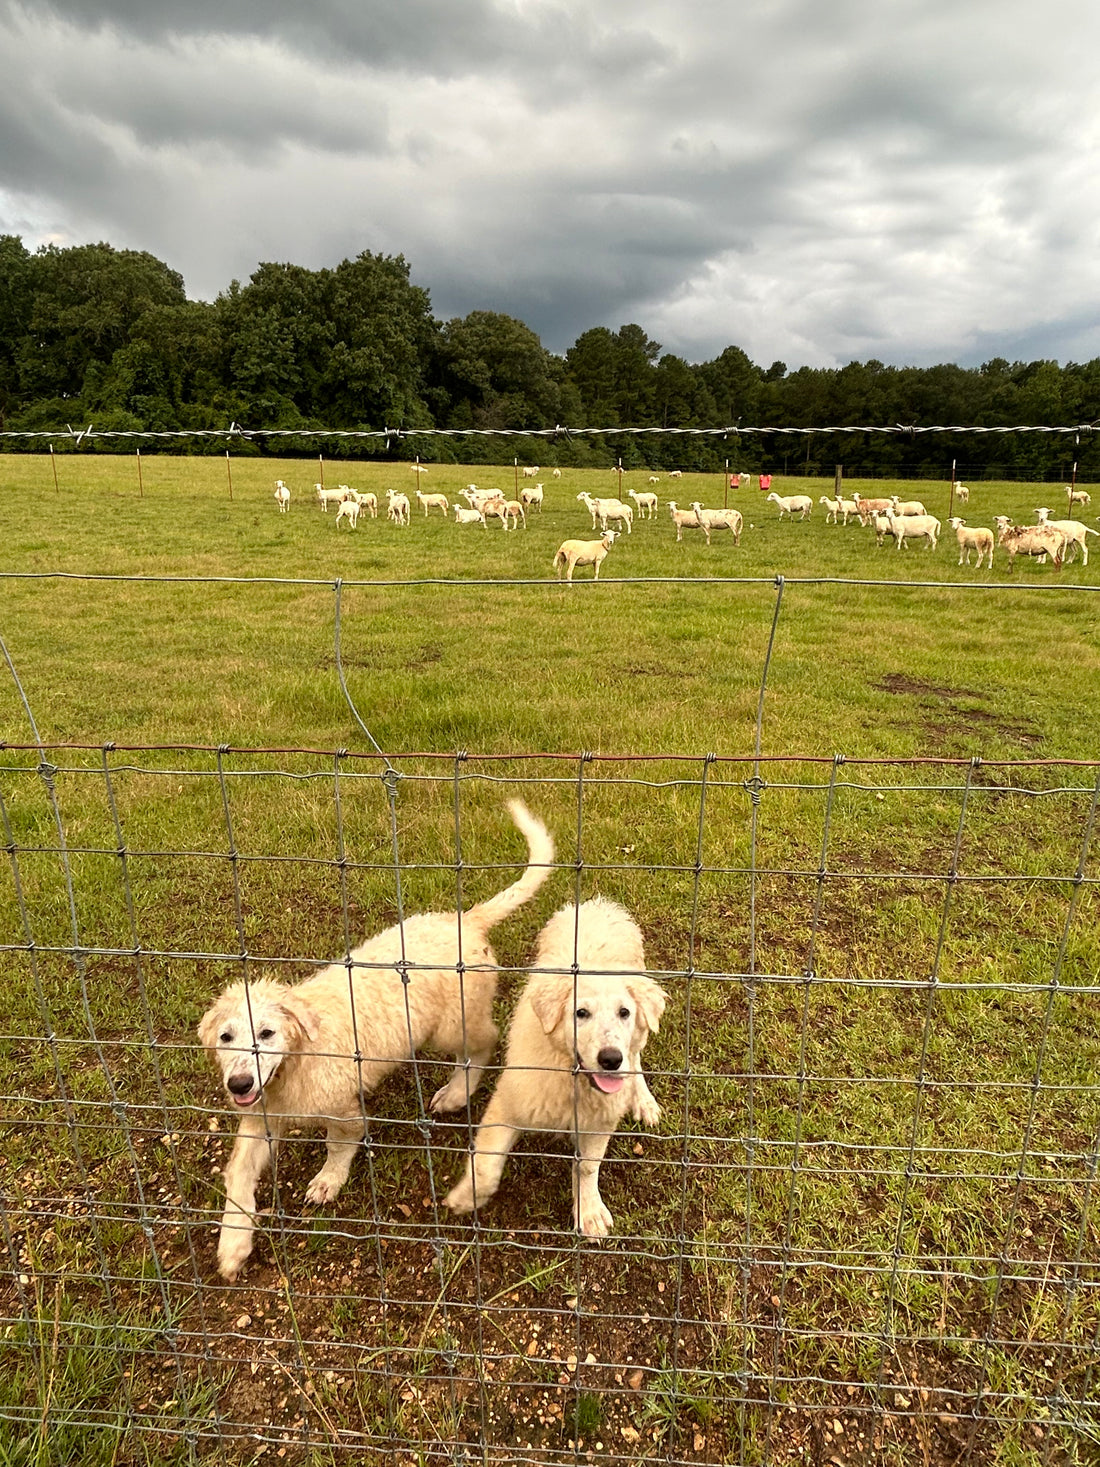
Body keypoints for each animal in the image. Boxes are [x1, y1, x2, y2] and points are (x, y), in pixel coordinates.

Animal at [198, 798, 554, 1279]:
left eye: (267, 1033)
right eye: (225, 1036)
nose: (238, 1084)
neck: (296, 1061)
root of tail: (465, 919)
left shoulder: (343, 1109)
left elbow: (341, 1144)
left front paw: (327, 1181)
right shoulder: (259, 1118)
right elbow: (238, 1175)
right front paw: (234, 1245)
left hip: (453, 1024)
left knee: (485, 1043)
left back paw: (456, 1093)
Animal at [442, 891, 668, 1238]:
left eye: (624, 1012)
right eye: (581, 1013)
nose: (610, 1060)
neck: (571, 1078)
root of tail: (597, 906)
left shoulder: (599, 1120)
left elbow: (587, 1166)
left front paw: (589, 1211)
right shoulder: (509, 1103)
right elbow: (486, 1164)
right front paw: (465, 1198)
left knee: (636, 1057)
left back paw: (642, 1099)